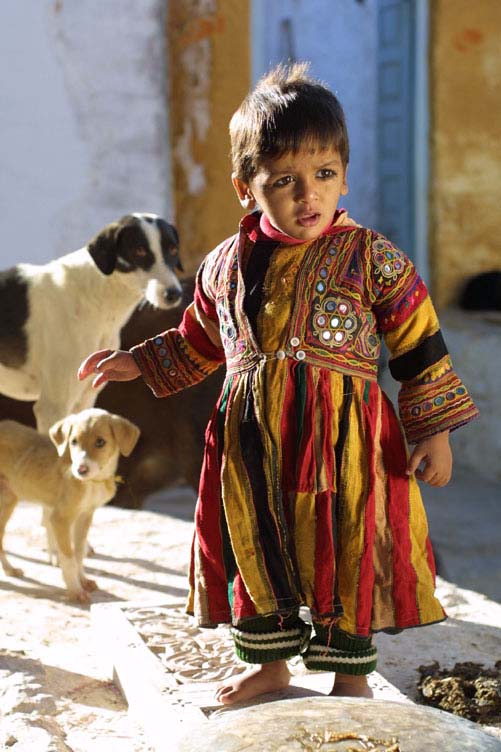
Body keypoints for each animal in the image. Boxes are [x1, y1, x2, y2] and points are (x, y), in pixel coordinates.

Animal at [0, 408, 139, 604]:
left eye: (100, 442)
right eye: (73, 442)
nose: (81, 470)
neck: (93, 482)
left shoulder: (85, 515)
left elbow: (78, 553)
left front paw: (83, 580)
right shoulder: (60, 518)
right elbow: (68, 557)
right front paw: (75, 590)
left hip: (8, 500)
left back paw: (10, 569)